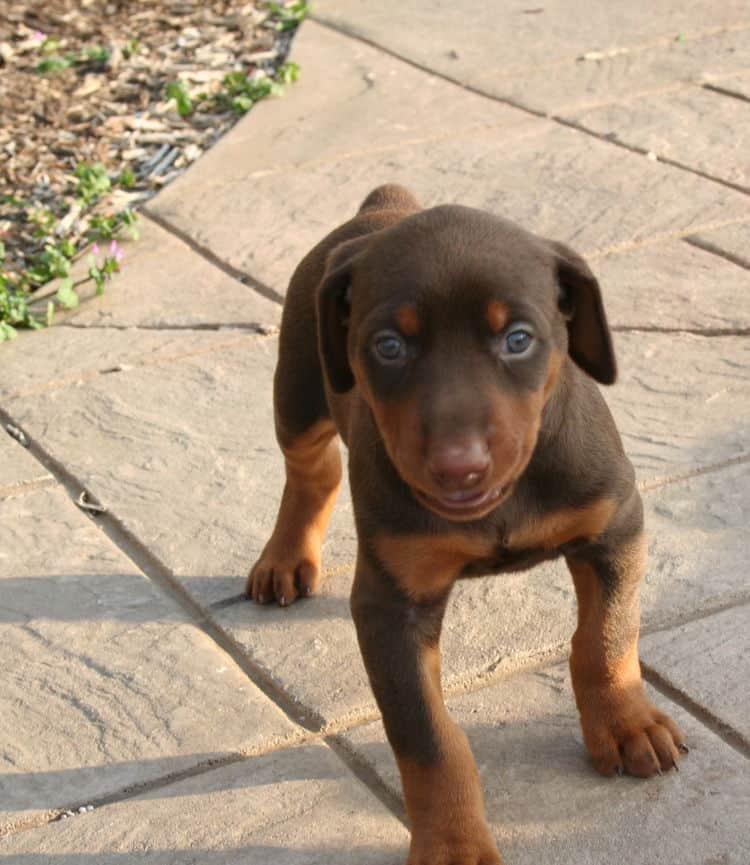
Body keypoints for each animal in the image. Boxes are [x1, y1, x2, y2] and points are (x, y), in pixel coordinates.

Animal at [247, 184, 688, 864]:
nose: (459, 467)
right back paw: (285, 556)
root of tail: (384, 203)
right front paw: (452, 843)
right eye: (389, 346)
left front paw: (625, 723)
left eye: (518, 338)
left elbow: (606, 637)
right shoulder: (391, 604)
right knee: (310, 470)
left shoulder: (615, 527)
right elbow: (429, 739)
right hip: (298, 387)